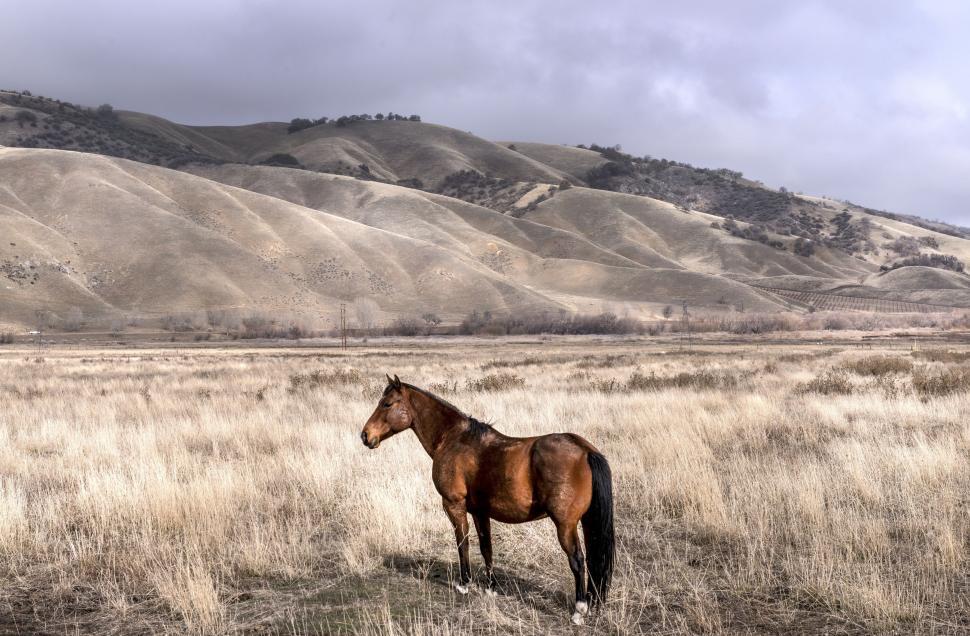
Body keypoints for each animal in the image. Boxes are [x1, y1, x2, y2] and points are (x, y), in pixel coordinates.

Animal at [356, 376, 612, 624]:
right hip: (586, 522)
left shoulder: (454, 505)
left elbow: (463, 543)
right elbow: (486, 547)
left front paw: (464, 584)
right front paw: (490, 587)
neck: (453, 439)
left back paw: (579, 609)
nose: (365, 435)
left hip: (565, 525)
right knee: (593, 558)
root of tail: (585, 450)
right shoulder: (480, 511)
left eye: (387, 404)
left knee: (578, 560)